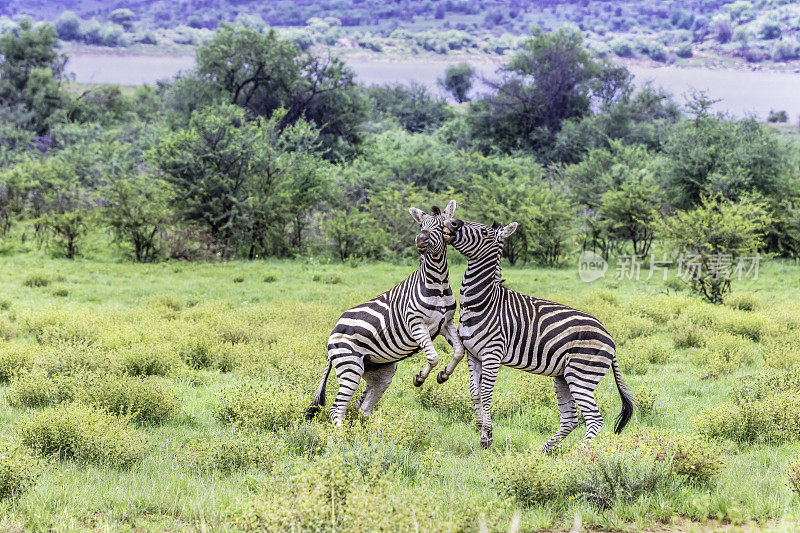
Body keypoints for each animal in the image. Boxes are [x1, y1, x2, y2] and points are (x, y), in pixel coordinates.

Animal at [308, 200, 468, 424]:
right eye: (421, 226)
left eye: (441, 226)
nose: (420, 240)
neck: (438, 284)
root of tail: (334, 330)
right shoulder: (416, 324)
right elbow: (433, 357)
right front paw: (420, 378)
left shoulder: (446, 323)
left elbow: (459, 352)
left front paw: (443, 375)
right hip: (350, 366)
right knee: (336, 409)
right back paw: (342, 433)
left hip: (380, 371)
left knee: (363, 408)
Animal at [440, 216, 636, 448]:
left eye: (485, 233)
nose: (453, 222)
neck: (483, 302)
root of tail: (611, 338)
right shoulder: (473, 354)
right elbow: (475, 393)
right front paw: (481, 434)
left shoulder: (492, 354)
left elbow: (486, 394)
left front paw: (488, 435)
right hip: (563, 376)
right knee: (570, 419)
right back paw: (545, 452)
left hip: (581, 374)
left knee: (594, 419)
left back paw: (580, 453)